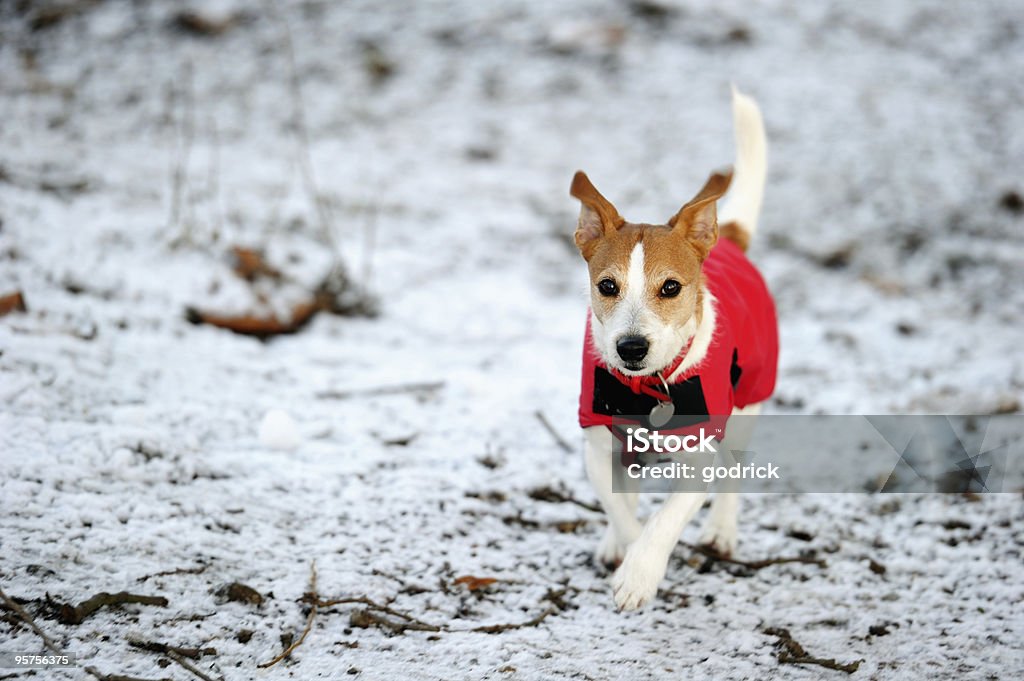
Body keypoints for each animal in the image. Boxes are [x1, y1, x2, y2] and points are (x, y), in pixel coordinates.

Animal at [569, 86, 774, 610]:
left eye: (671, 288)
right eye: (607, 285)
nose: (631, 347)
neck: (650, 387)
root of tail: (730, 240)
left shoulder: (701, 455)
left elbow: (666, 518)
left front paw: (639, 573)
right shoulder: (598, 444)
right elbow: (620, 508)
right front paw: (623, 546)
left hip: (749, 403)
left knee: (734, 469)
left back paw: (721, 531)